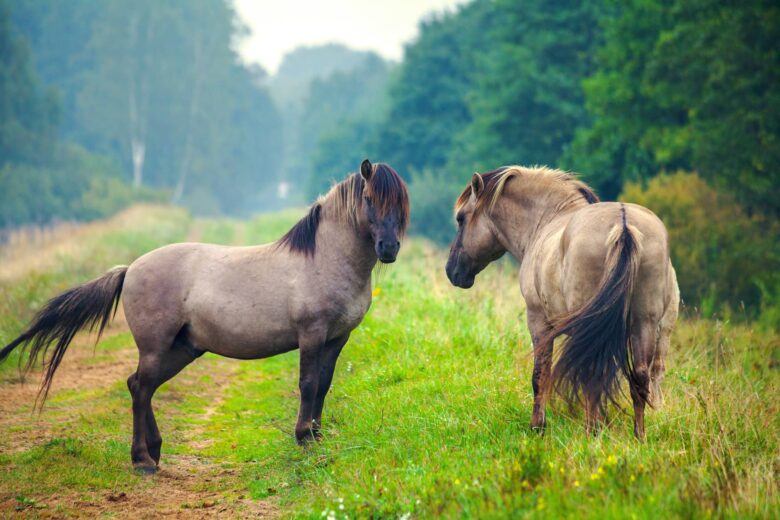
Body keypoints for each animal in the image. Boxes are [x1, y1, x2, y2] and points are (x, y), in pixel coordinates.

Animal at [0, 159, 409, 473]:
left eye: (400, 205)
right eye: (369, 199)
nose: (389, 248)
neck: (324, 258)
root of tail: (130, 269)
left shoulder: (337, 338)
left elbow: (323, 385)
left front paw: (318, 438)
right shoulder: (312, 334)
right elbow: (308, 384)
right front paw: (303, 439)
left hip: (183, 349)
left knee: (140, 385)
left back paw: (155, 451)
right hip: (156, 347)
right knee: (140, 388)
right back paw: (142, 461)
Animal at [445, 166, 679, 440]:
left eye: (461, 218)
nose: (451, 271)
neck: (547, 220)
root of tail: (623, 225)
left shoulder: (538, 321)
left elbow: (540, 374)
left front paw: (537, 426)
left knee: (593, 374)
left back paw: (591, 433)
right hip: (645, 324)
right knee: (640, 378)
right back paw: (638, 437)